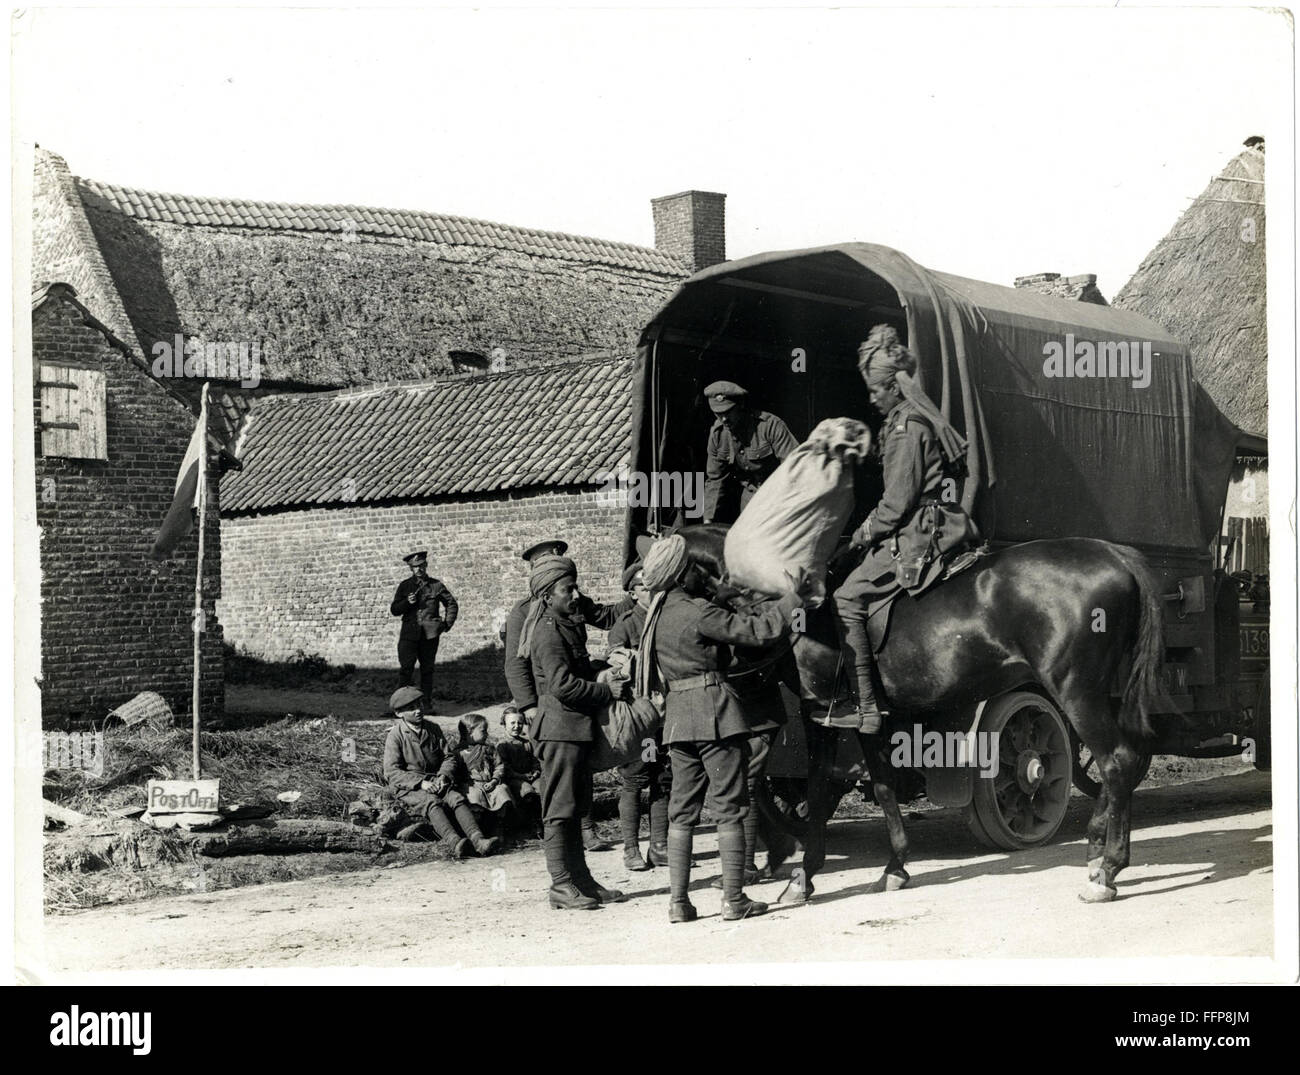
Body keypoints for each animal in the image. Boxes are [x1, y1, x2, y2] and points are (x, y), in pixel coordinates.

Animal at [676, 525, 1164, 904]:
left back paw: (1108, 870)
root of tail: (1115, 553)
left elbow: (816, 790)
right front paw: (895, 866)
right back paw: (1098, 849)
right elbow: (883, 785)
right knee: (1126, 763)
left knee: (1116, 763)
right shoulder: (870, 720)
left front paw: (804, 875)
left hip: (1077, 693)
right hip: (1104, 696)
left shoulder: (821, 717)